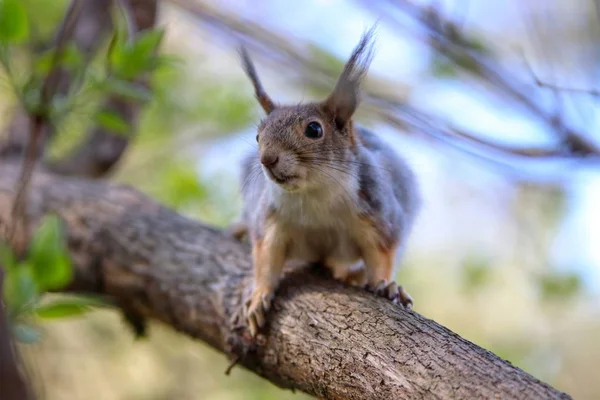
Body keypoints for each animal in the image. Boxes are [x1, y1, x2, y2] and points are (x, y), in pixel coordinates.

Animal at [232, 26, 420, 336]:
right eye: (258, 136)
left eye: (314, 129)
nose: (267, 159)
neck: (313, 194)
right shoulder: (270, 221)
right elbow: (266, 258)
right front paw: (259, 295)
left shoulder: (378, 212)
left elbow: (382, 255)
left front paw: (388, 285)